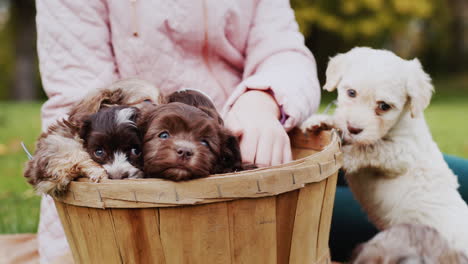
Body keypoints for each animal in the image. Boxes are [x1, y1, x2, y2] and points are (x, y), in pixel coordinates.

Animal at [302, 47, 468, 254]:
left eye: (384, 106)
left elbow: (370, 148)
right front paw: (319, 122)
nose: (353, 128)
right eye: (351, 93)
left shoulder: (401, 152)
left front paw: (344, 156)